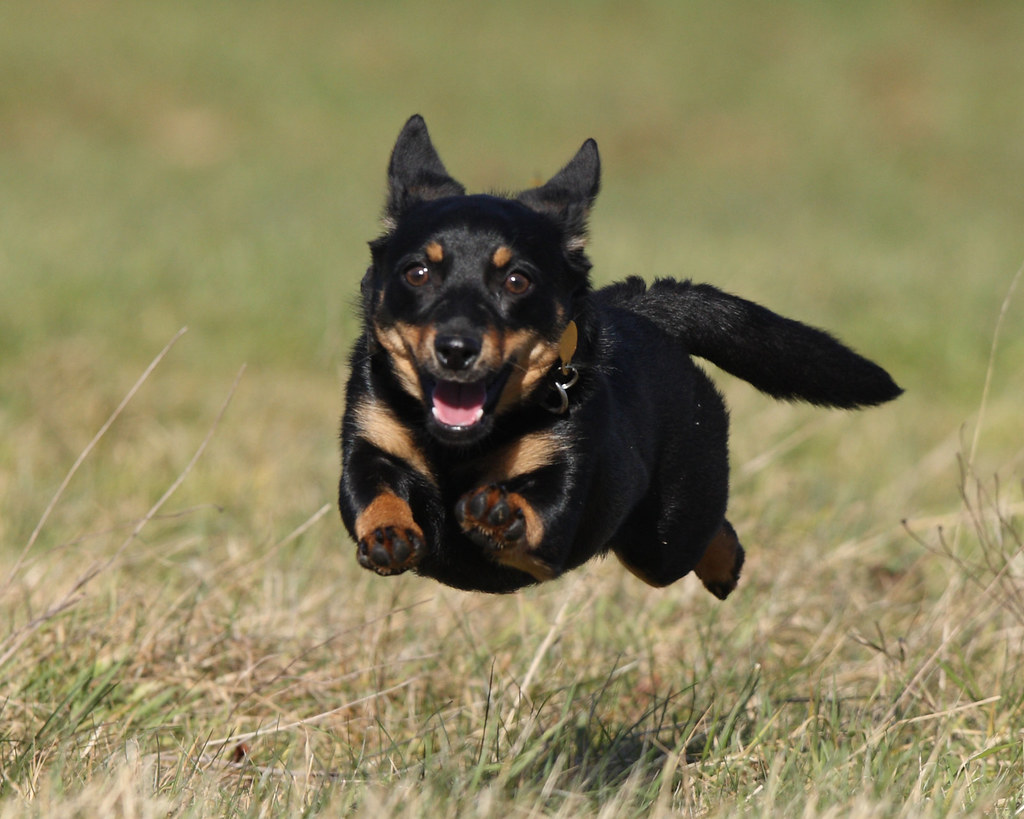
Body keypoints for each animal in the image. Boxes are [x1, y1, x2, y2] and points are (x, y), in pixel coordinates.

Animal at [335, 115, 897, 593]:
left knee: (709, 532)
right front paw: (388, 533)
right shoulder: (368, 444)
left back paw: (726, 566)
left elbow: (536, 517)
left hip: (664, 533)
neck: (459, 449)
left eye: (517, 280)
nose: (455, 348)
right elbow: (371, 493)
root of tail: (644, 308)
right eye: (417, 273)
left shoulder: (561, 505)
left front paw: (501, 513)